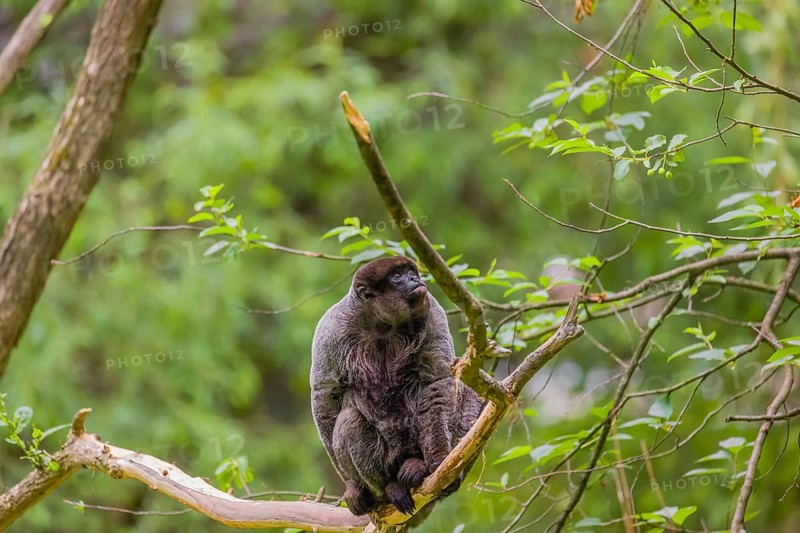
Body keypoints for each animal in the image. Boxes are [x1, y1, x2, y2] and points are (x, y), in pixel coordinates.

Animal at [311, 256, 482, 519]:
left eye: (411, 272)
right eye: (397, 276)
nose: (415, 279)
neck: (381, 323)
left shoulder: (432, 309)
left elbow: (437, 381)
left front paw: (439, 461)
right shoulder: (330, 329)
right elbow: (325, 395)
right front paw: (352, 486)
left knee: (472, 396)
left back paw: (417, 466)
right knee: (349, 420)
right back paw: (390, 487)